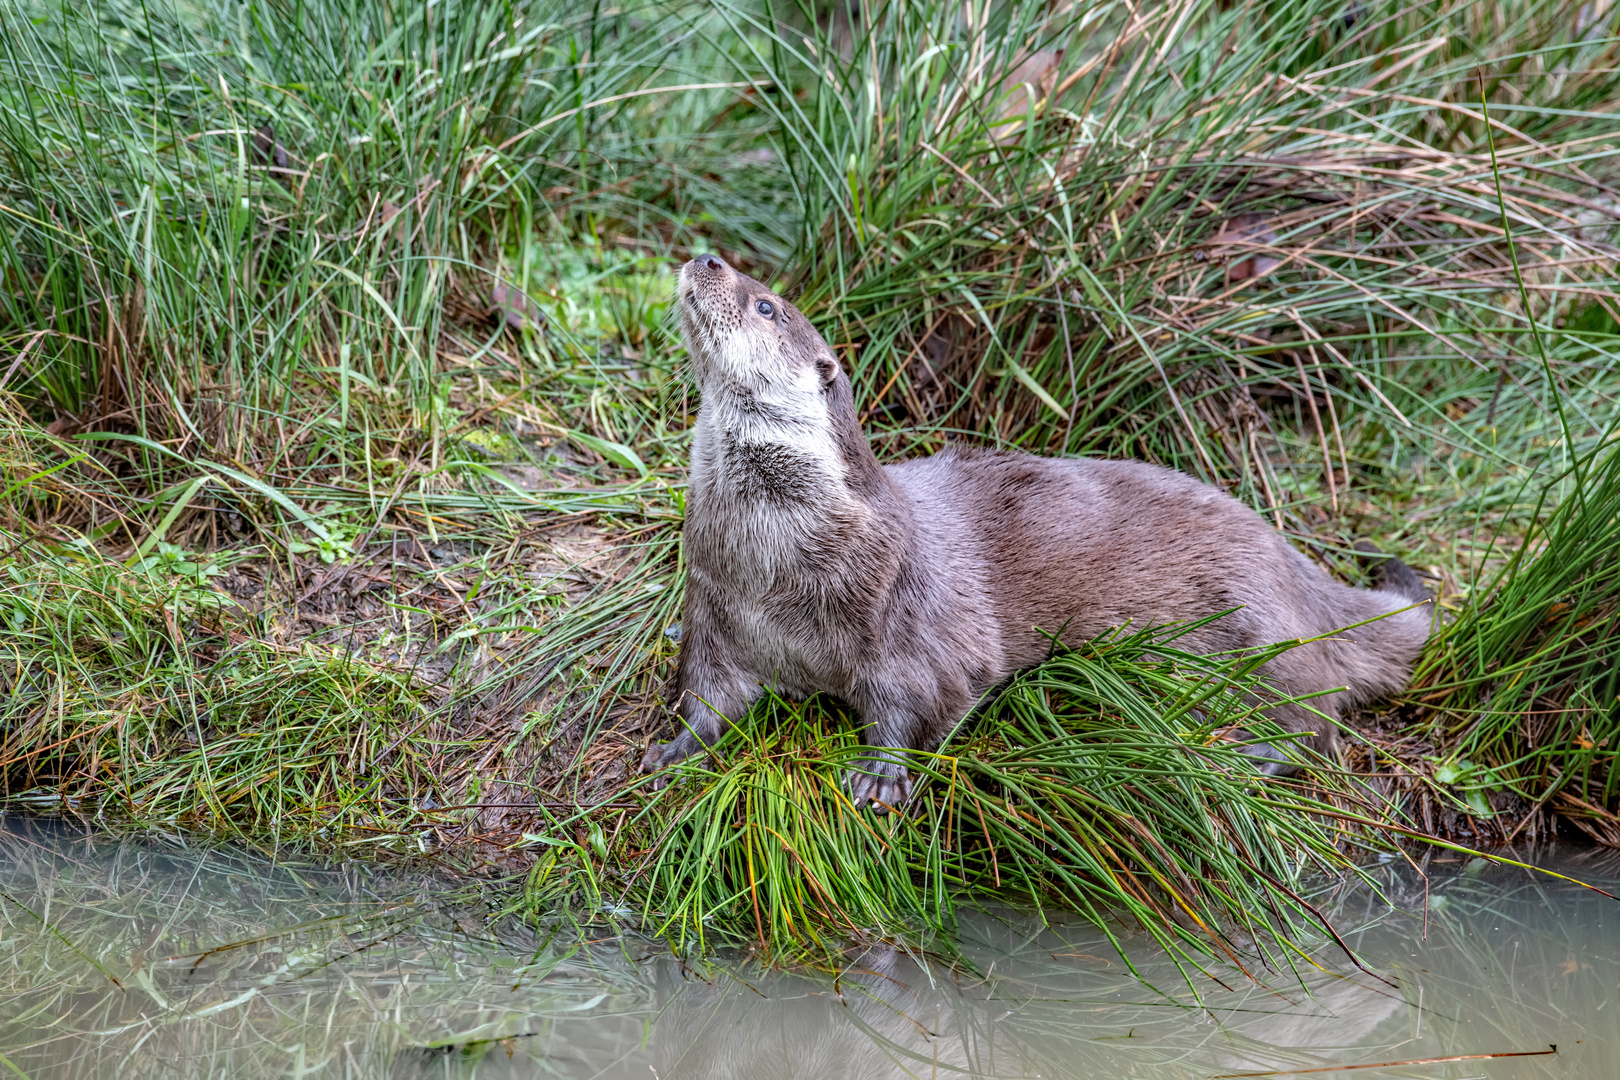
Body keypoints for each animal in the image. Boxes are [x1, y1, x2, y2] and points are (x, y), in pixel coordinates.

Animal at [644, 257, 1432, 806]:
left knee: (1318, 708)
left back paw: (1257, 755)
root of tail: (1290, 557)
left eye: (766, 304)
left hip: (1256, 623)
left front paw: (883, 776)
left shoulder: (909, 621)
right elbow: (706, 693)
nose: (707, 258)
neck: (777, 565)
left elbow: (921, 705)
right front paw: (673, 749)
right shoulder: (716, 609)